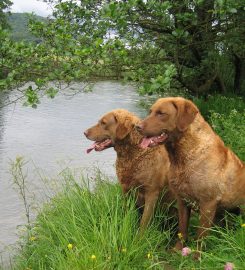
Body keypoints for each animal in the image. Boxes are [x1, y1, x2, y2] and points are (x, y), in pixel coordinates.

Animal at [137, 98, 244, 252]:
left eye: (161, 113)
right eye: (150, 112)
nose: (137, 127)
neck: (183, 157)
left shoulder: (208, 204)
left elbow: (200, 237)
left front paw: (197, 255)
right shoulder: (182, 200)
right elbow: (182, 229)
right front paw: (177, 250)